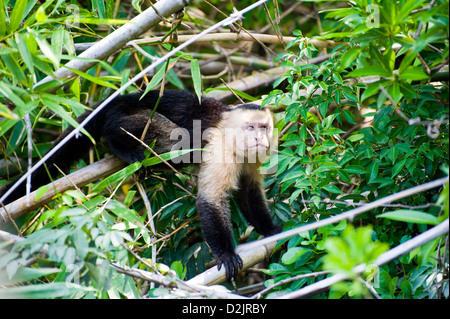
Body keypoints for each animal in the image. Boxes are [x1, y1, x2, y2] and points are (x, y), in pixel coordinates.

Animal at [0, 89, 282, 280]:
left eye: (264, 127)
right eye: (250, 127)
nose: (259, 138)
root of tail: (126, 97)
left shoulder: (255, 158)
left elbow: (249, 193)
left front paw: (270, 229)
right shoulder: (221, 147)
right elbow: (210, 199)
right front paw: (225, 254)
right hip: (127, 115)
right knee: (173, 139)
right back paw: (120, 145)